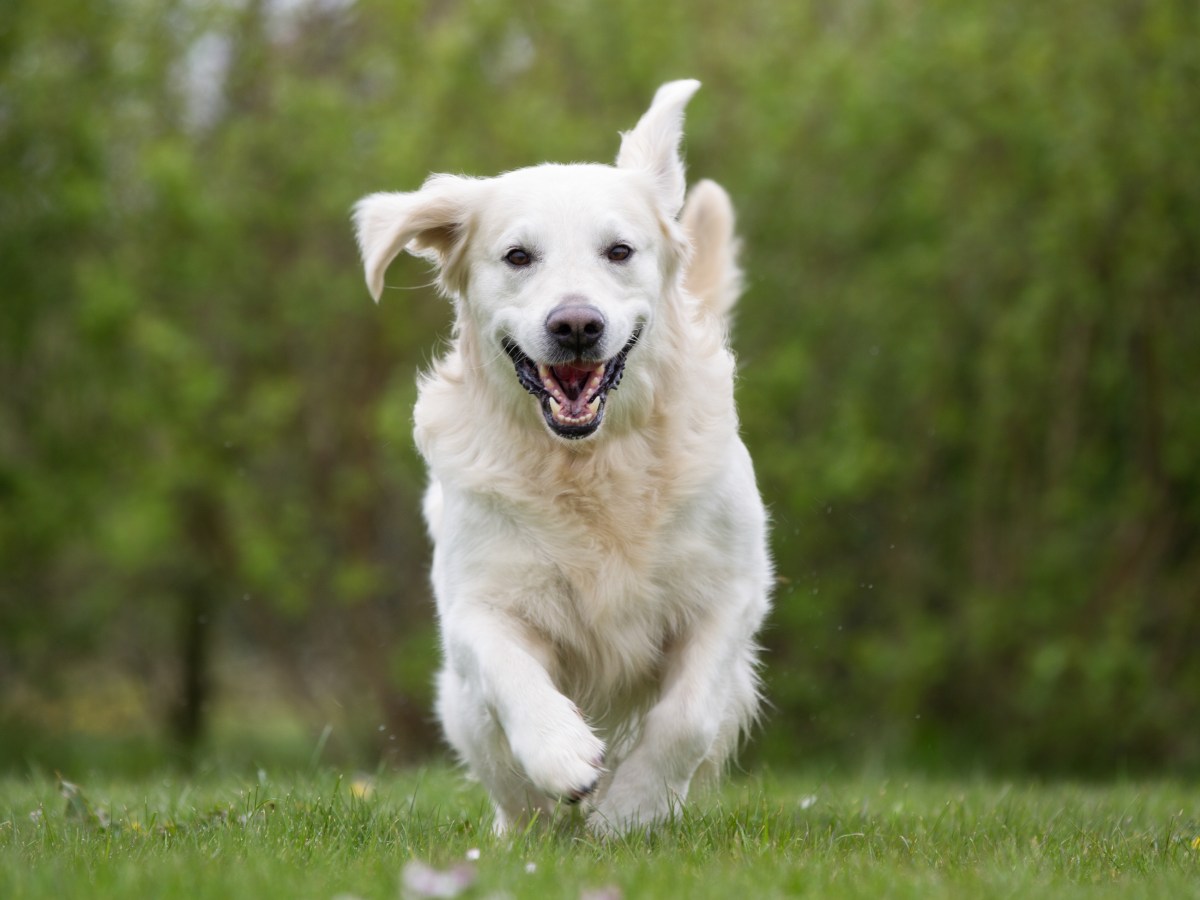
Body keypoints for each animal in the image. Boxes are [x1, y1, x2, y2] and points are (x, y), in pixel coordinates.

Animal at [350, 81, 772, 835]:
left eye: (619, 250)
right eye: (518, 256)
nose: (576, 325)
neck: (590, 462)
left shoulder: (732, 591)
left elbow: (686, 718)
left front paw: (629, 809)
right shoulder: (477, 600)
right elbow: (512, 672)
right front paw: (563, 755)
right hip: (462, 708)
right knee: (505, 781)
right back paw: (529, 825)